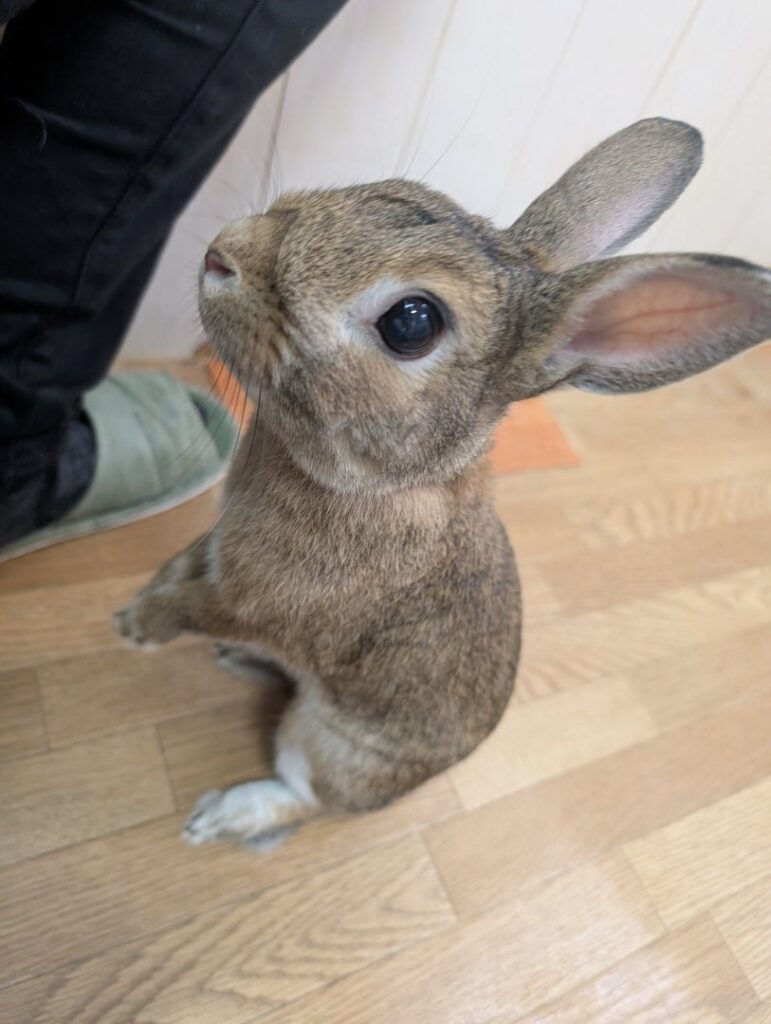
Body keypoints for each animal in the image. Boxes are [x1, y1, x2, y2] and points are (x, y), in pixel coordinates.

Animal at [114, 118, 771, 850]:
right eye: (394, 191)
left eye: (411, 322)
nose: (225, 255)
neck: (380, 483)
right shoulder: (217, 551)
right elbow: (183, 569)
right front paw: (140, 604)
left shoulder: (256, 601)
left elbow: (194, 607)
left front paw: (134, 629)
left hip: (325, 742)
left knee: (306, 796)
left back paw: (222, 814)